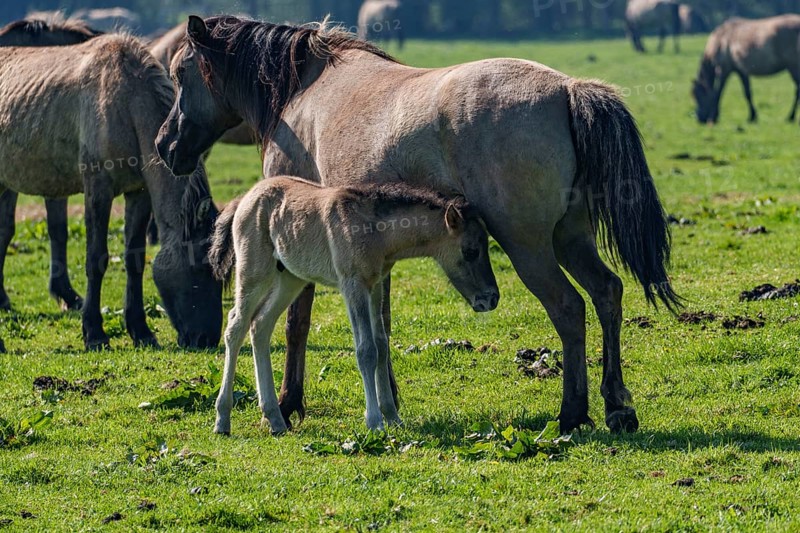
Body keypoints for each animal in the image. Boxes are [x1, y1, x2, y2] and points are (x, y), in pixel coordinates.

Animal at [208, 176, 498, 434]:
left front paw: (393, 417)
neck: (375, 231)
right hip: (254, 273)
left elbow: (381, 345)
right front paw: (375, 421)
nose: (491, 298)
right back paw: (223, 419)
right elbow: (366, 349)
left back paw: (276, 420)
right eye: (470, 251)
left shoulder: (376, 284)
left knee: (260, 326)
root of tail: (244, 198)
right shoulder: (353, 285)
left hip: (290, 277)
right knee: (236, 326)